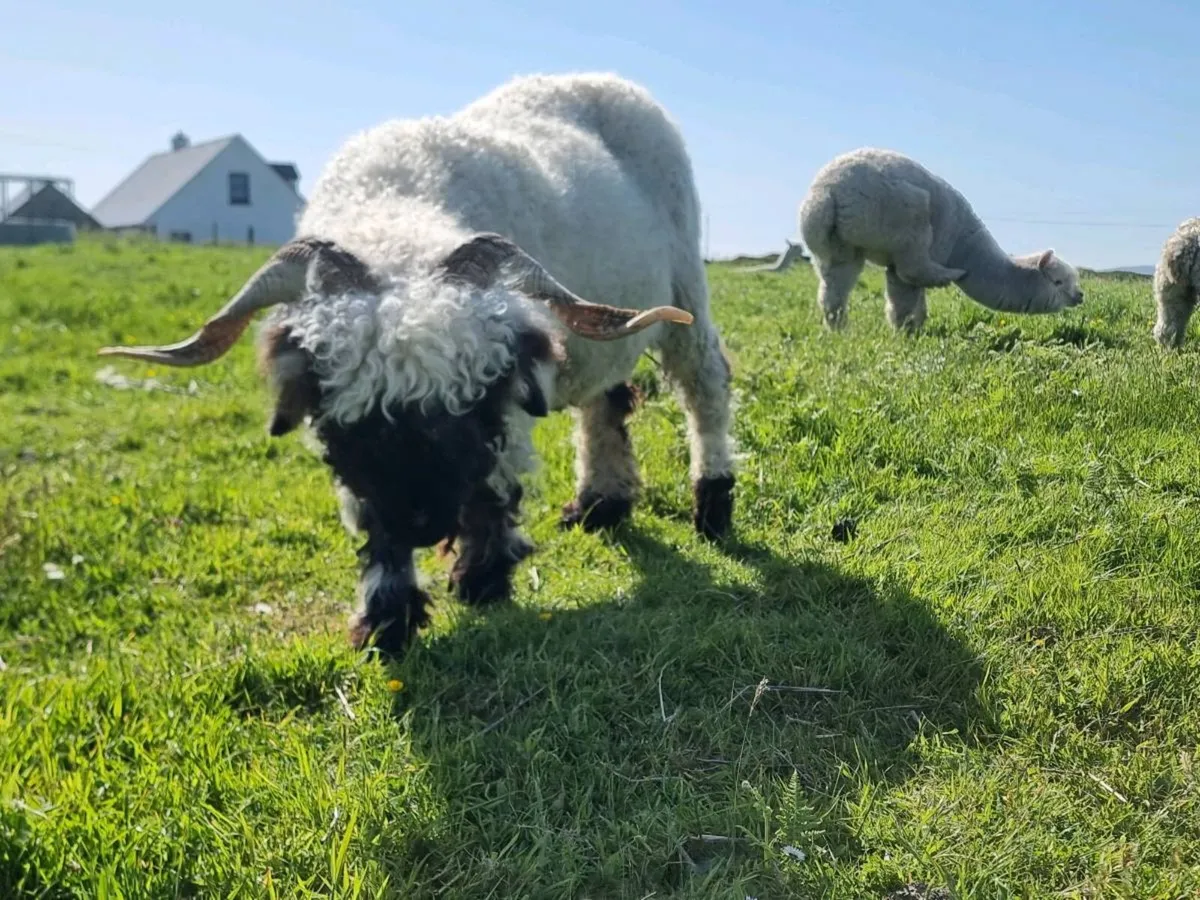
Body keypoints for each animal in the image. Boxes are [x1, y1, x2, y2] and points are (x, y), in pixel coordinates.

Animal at [96, 72, 738, 658]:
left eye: (472, 399)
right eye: (354, 416)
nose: (426, 523)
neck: (396, 206)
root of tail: (603, 78)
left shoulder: (507, 403)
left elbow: (493, 487)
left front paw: (482, 580)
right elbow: (373, 520)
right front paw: (386, 618)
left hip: (684, 289)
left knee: (705, 384)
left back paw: (711, 501)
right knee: (603, 404)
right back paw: (599, 505)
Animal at [799, 147, 1085, 332]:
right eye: (1058, 281)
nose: (1080, 296)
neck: (966, 249)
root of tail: (826, 193)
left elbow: (911, 300)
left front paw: (914, 328)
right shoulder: (917, 254)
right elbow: (904, 297)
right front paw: (906, 334)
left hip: (838, 248)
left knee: (832, 290)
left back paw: (838, 331)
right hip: (906, 221)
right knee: (913, 268)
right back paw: (949, 276)